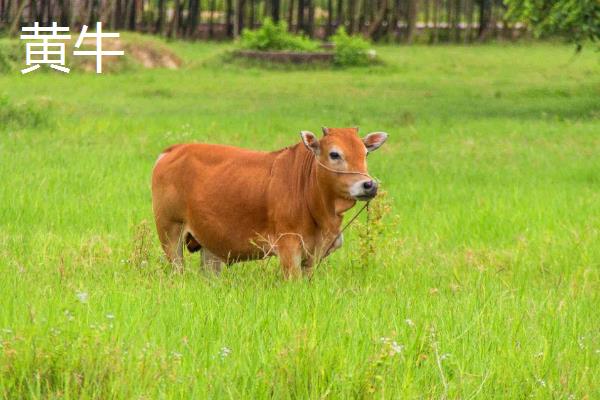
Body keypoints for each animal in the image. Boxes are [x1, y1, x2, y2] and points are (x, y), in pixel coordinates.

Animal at [152, 127, 386, 278]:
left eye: (365, 153)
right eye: (335, 154)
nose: (369, 185)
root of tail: (172, 151)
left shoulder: (315, 253)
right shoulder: (288, 247)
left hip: (209, 244)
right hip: (170, 233)